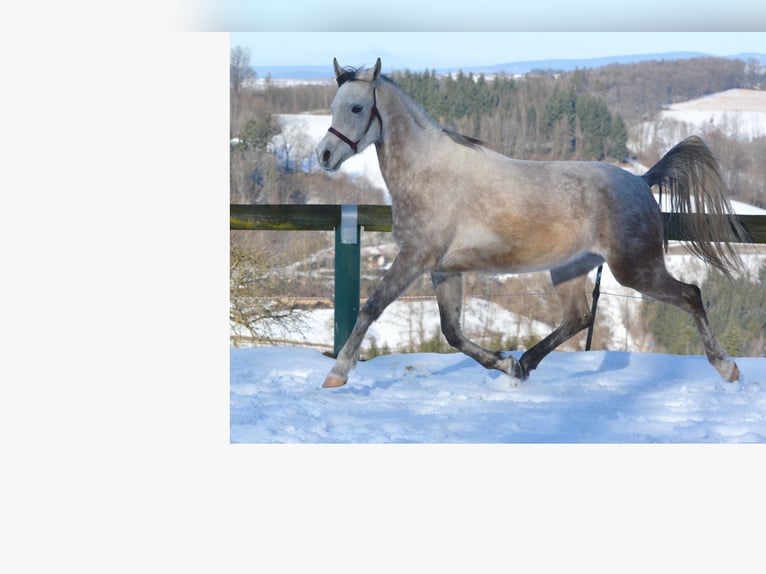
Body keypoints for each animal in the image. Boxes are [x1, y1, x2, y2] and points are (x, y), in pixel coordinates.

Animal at [315, 57, 745, 389]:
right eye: (333, 105)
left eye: (356, 108)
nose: (324, 155)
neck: (428, 173)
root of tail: (641, 180)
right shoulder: (442, 270)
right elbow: (452, 333)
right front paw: (504, 362)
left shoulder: (414, 259)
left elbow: (371, 307)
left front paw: (337, 374)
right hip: (570, 268)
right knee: (578, 317)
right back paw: (524, 364)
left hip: (636, 269)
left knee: (690, 294)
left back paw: (727, 367)